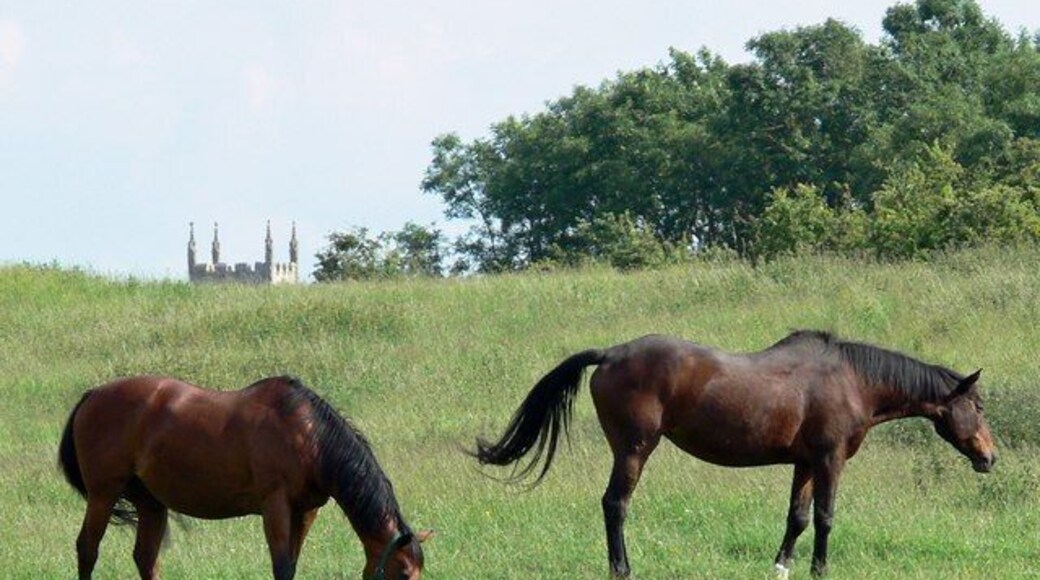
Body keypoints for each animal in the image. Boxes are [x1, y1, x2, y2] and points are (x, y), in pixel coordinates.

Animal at [58, 375, 431, 580]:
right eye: (403, 572)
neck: (308, 436)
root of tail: (92, 395)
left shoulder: (306, 511)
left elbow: (292, 563)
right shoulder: (275, 505)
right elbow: (281, 566)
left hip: (150, 502)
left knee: (146, 559)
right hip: (103, 494)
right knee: (87, 549)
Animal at [472, 330, 996, 578]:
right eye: (978, 405)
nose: (990, 457)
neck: (851, 381)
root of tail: (612, 353)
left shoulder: (805, 464)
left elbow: (797, 518)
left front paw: (781, 566)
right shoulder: (829, 460)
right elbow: (825, 518)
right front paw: (820, 569)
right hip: (634, 449)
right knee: (615, 505)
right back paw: (622, 569)